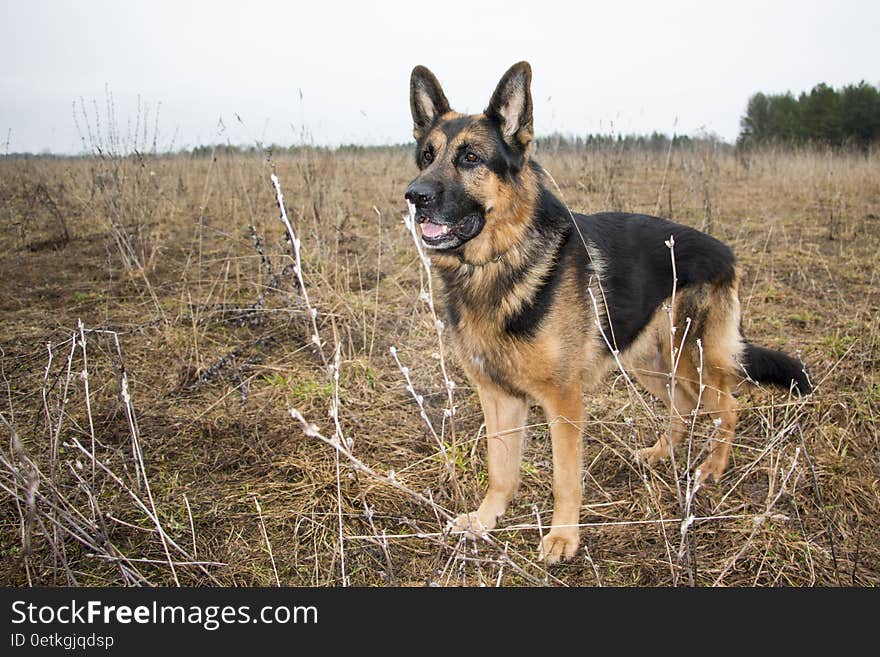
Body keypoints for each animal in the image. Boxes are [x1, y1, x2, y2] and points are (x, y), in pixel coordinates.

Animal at [406, 62, 812, 564]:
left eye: (470, 158)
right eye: (426, 156)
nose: (414, 196)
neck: (500, 260)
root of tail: (727, 253)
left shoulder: (563, 400)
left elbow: (565, 478)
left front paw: (563, 537)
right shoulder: (497, 396)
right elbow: (500, 469)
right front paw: (485, 521)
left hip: (693, 358)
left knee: (728, 407)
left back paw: (712, 468)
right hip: (651, 362)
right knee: (682, 408)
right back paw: (659, 454)